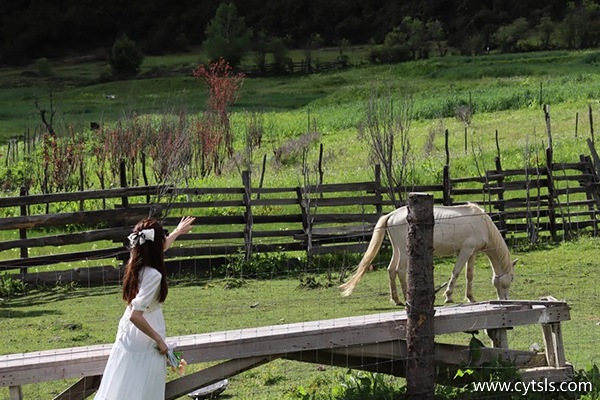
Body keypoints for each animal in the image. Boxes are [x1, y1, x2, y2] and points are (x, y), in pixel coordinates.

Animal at [340, 205, 516, 304]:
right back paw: (406, 298)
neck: (482, 223)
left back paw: (396, 299)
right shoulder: (465, 251)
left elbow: (469, 275)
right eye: (511, 279)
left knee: (390, 270)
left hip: (397, 250)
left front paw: (470, 297)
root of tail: (392, 215)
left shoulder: (472, 253)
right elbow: (456, 272)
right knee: (400, 271)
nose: (505, 300)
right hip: (404, 253)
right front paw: (448, 296)